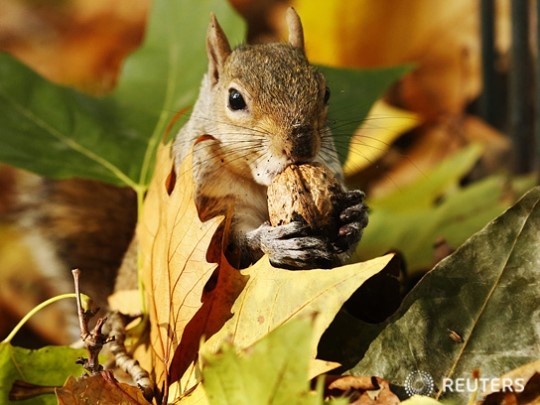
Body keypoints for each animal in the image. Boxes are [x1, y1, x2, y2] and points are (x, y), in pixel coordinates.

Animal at [11, 7, 368, 316]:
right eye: (235, 99)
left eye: (325, 92)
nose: (301, 144)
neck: (257, 182)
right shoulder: (204, 202)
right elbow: (223, 250)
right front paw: (274, 242)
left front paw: (354, 216)